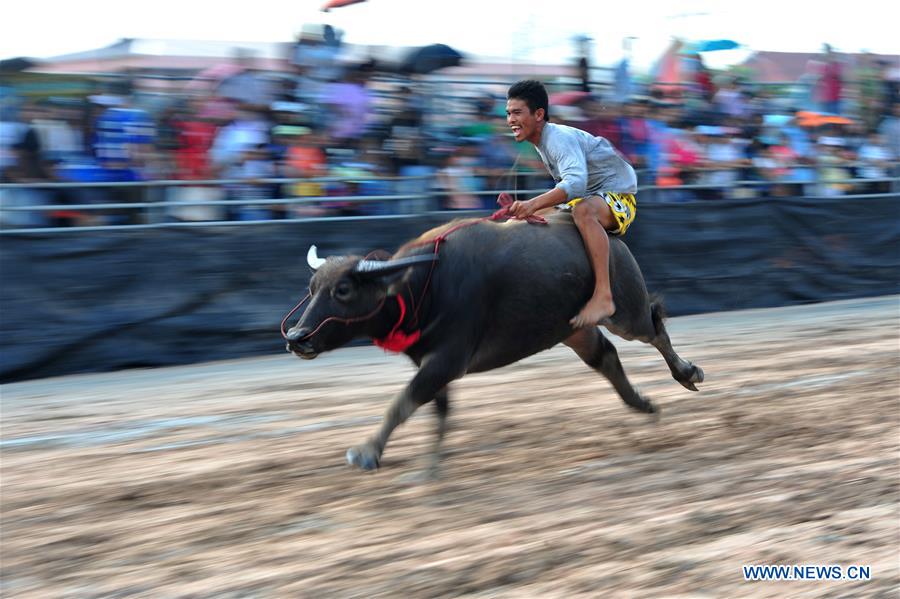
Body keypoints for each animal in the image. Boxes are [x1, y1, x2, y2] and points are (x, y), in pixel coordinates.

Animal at [286, 213, 704, 476]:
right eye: (312, 287)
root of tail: (612, 239)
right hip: (574, 329)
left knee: (655, 326)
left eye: (343, 289)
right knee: (606, 357)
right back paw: (643, 404)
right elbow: (437, 411)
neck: (421, 288)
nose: (296, 338)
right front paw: (431, 467)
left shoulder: (446, 360)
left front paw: (366, 453)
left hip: (625, 312)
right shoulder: (434, 364)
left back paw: (687, 373)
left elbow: (401, 404)